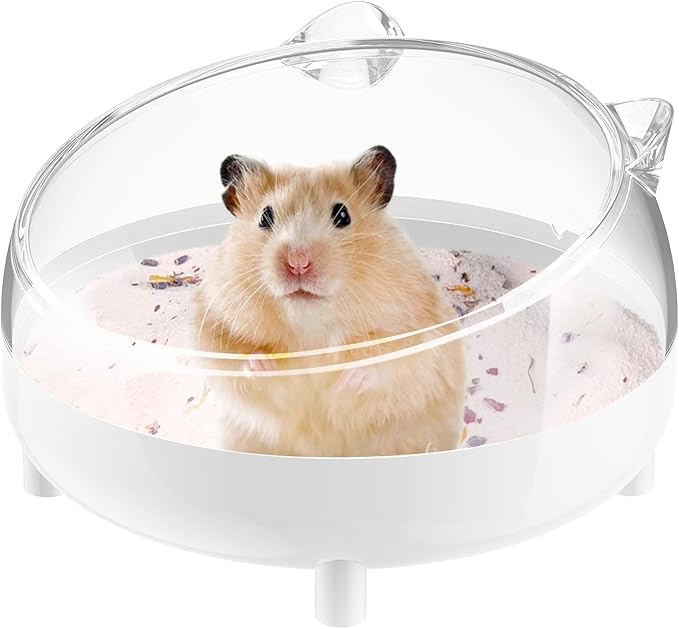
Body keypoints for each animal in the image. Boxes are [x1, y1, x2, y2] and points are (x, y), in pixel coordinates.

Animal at [194, 146, 466, 456]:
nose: (298, 263)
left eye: (343, 215)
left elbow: (394, 361)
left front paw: (347, 378)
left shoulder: (419, 333)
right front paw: (263, 365)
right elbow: (230, 360)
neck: (311, 324)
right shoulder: (213, 324)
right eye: (264, 217)